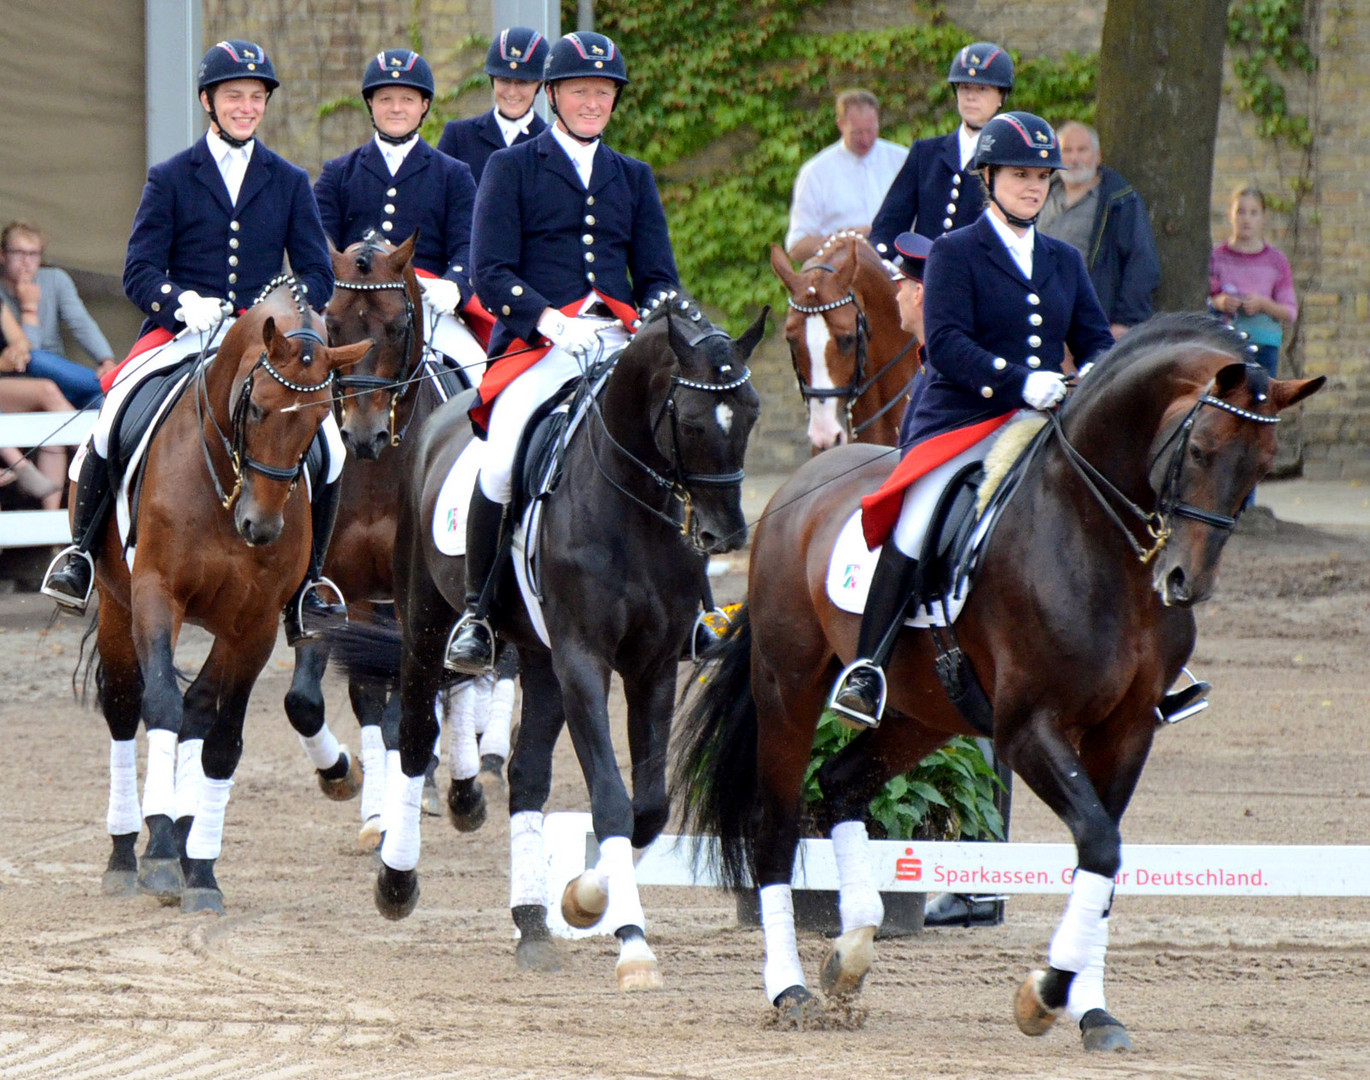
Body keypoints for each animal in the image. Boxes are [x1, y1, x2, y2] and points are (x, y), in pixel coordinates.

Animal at [91, 276, 372, 910]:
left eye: (320, 418)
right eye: (259, 407)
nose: (259, 529)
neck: (224, 476)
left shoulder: (256, 624)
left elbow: (221, 740)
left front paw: (200, 872)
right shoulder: (155, 595)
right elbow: (159, 704)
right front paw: (161, 855)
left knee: (198, 711)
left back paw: (181, 834)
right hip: (116, 604)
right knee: (123, 704)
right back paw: (125, 855)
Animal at [358, 300, 767, 992]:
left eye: (753, 410)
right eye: (688, 418)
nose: (726, 534)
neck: (631, 505)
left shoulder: (652, 666)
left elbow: (647, 808)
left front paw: (582, 899)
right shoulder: (584, 661)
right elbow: (610, 800)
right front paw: (632, 944)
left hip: (541, 660)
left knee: (526, 778)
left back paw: (530, 923)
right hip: (426, 625)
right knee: (412, 740)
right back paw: (396, 883)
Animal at [668, 316, 1320, 1052]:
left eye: (1263, 465)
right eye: (1203, 450)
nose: (1185, 582)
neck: (1098, 539)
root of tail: (794, 490)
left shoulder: (1127, 733)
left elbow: (1104, 860)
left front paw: (1093, 1012)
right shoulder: (1028, 729)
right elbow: (1100, 845)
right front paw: (1043, 996)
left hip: (923, 716)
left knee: (840, 783)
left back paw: (852, 950)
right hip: (789, 690)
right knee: (775, 828)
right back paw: (792, 990)